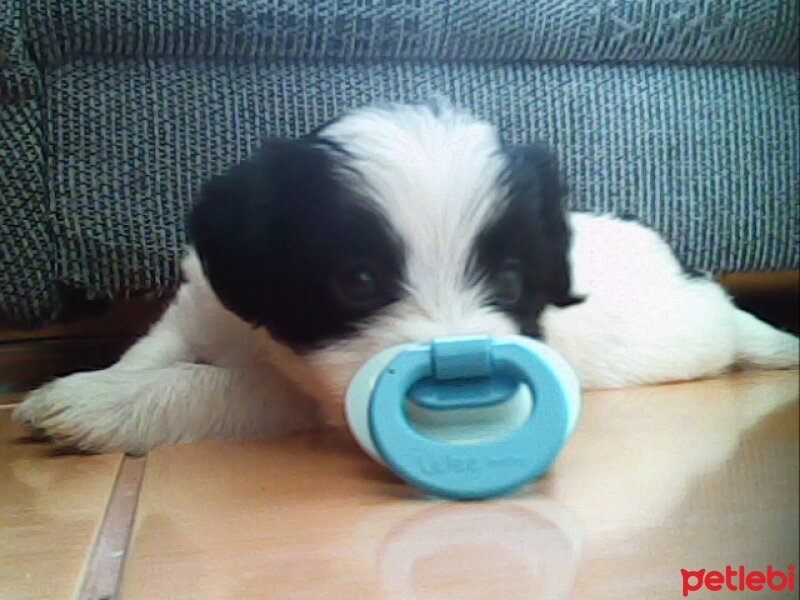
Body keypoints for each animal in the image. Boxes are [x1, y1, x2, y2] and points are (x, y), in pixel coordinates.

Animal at [14, 102, 800, 454]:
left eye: (509, 281)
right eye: (358, 280)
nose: (463, 380)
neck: (261, 340)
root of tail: (701, 286)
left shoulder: (298, 398)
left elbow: (218, 386)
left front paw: (92, 406)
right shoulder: (201, 306)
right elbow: (155, 350)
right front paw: (101, 384)